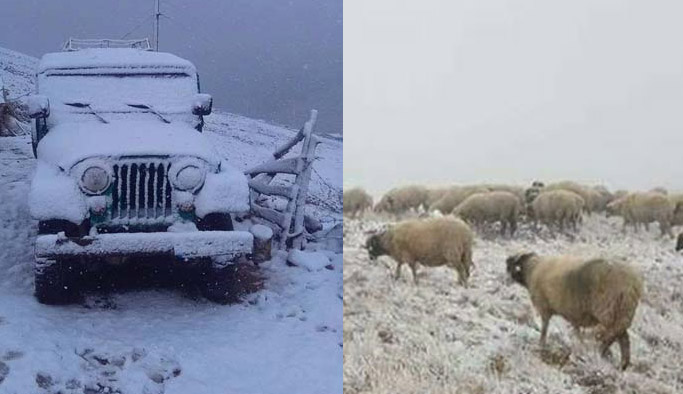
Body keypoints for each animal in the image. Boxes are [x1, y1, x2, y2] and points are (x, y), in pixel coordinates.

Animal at [504, 252, 644, 370]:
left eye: (513, 264)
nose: (506, 262)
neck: (532, 269)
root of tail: (633, 284)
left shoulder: (544, 307)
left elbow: (544, 327)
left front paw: (542, 343)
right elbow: (576, 331)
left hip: (609, 311)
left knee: (614, 335)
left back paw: (601, 352)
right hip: (622, 313)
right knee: (623, 337)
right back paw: (622, 364)